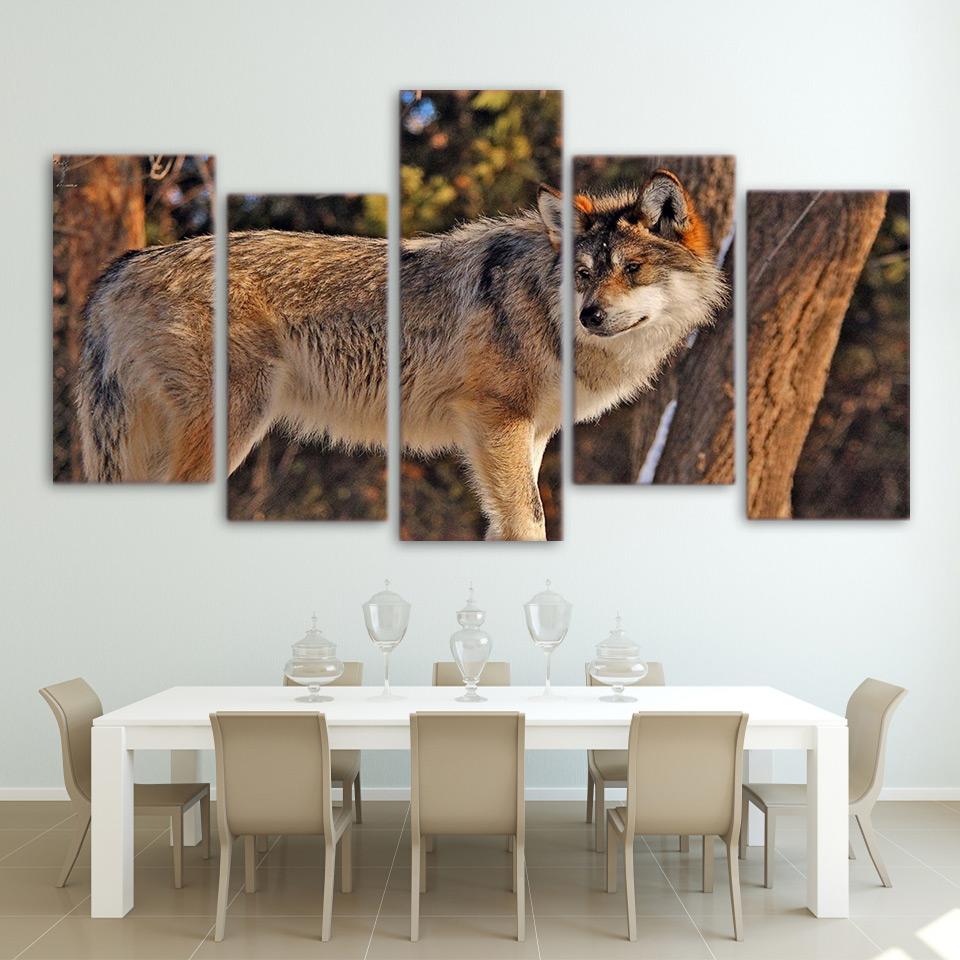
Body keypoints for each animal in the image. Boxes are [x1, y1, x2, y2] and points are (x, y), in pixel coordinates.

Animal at [77, 170, 725, 540]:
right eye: (585, 274)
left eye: (632, 269)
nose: (590, 315)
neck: (541, 306)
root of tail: (119, 269)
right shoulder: (496, 421)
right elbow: (530, 522)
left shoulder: (528, 435)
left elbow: (507, 523)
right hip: (230, 425)